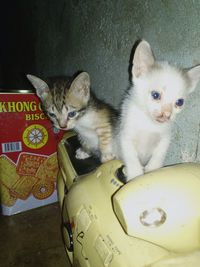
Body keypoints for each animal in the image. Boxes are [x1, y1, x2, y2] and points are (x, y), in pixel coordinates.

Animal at [117, 40, 200, 182]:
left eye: (179, 102)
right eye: (155, 95)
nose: (166, 115)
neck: (149, 124)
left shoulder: (165, 137)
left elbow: (159, 155)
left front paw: (152, 172)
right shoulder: (125, 136)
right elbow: (132, 158)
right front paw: (134, 176)